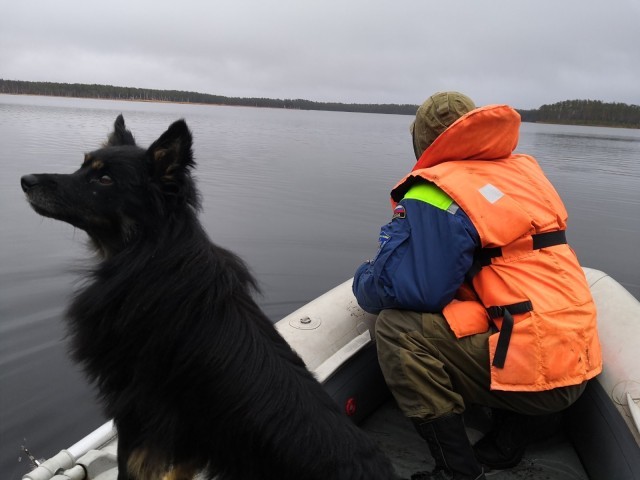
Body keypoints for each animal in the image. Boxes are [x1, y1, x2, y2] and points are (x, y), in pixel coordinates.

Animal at [21, 117, 396, 480]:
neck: (150, 252)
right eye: (82, 166)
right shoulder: (189, 438)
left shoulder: (135, 413)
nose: (26, 180)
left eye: (104, 178)